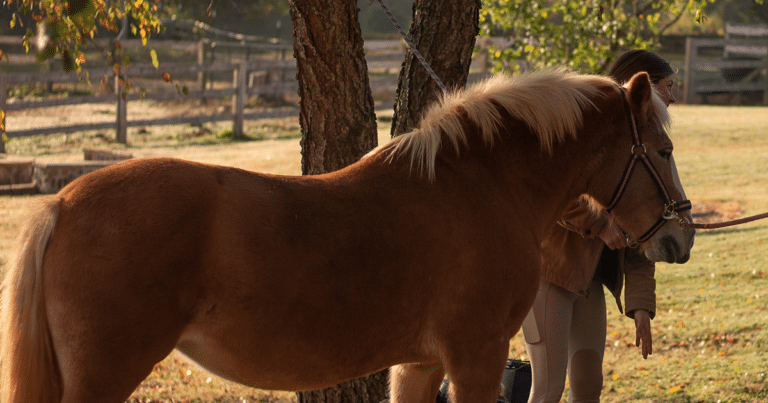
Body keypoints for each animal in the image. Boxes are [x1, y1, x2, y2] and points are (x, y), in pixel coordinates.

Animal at [0, 69, 694, 403]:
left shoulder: (419, 364)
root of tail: (61, 202)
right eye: (662, 150)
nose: (680, 238)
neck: (483, 184)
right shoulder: (477, 359)